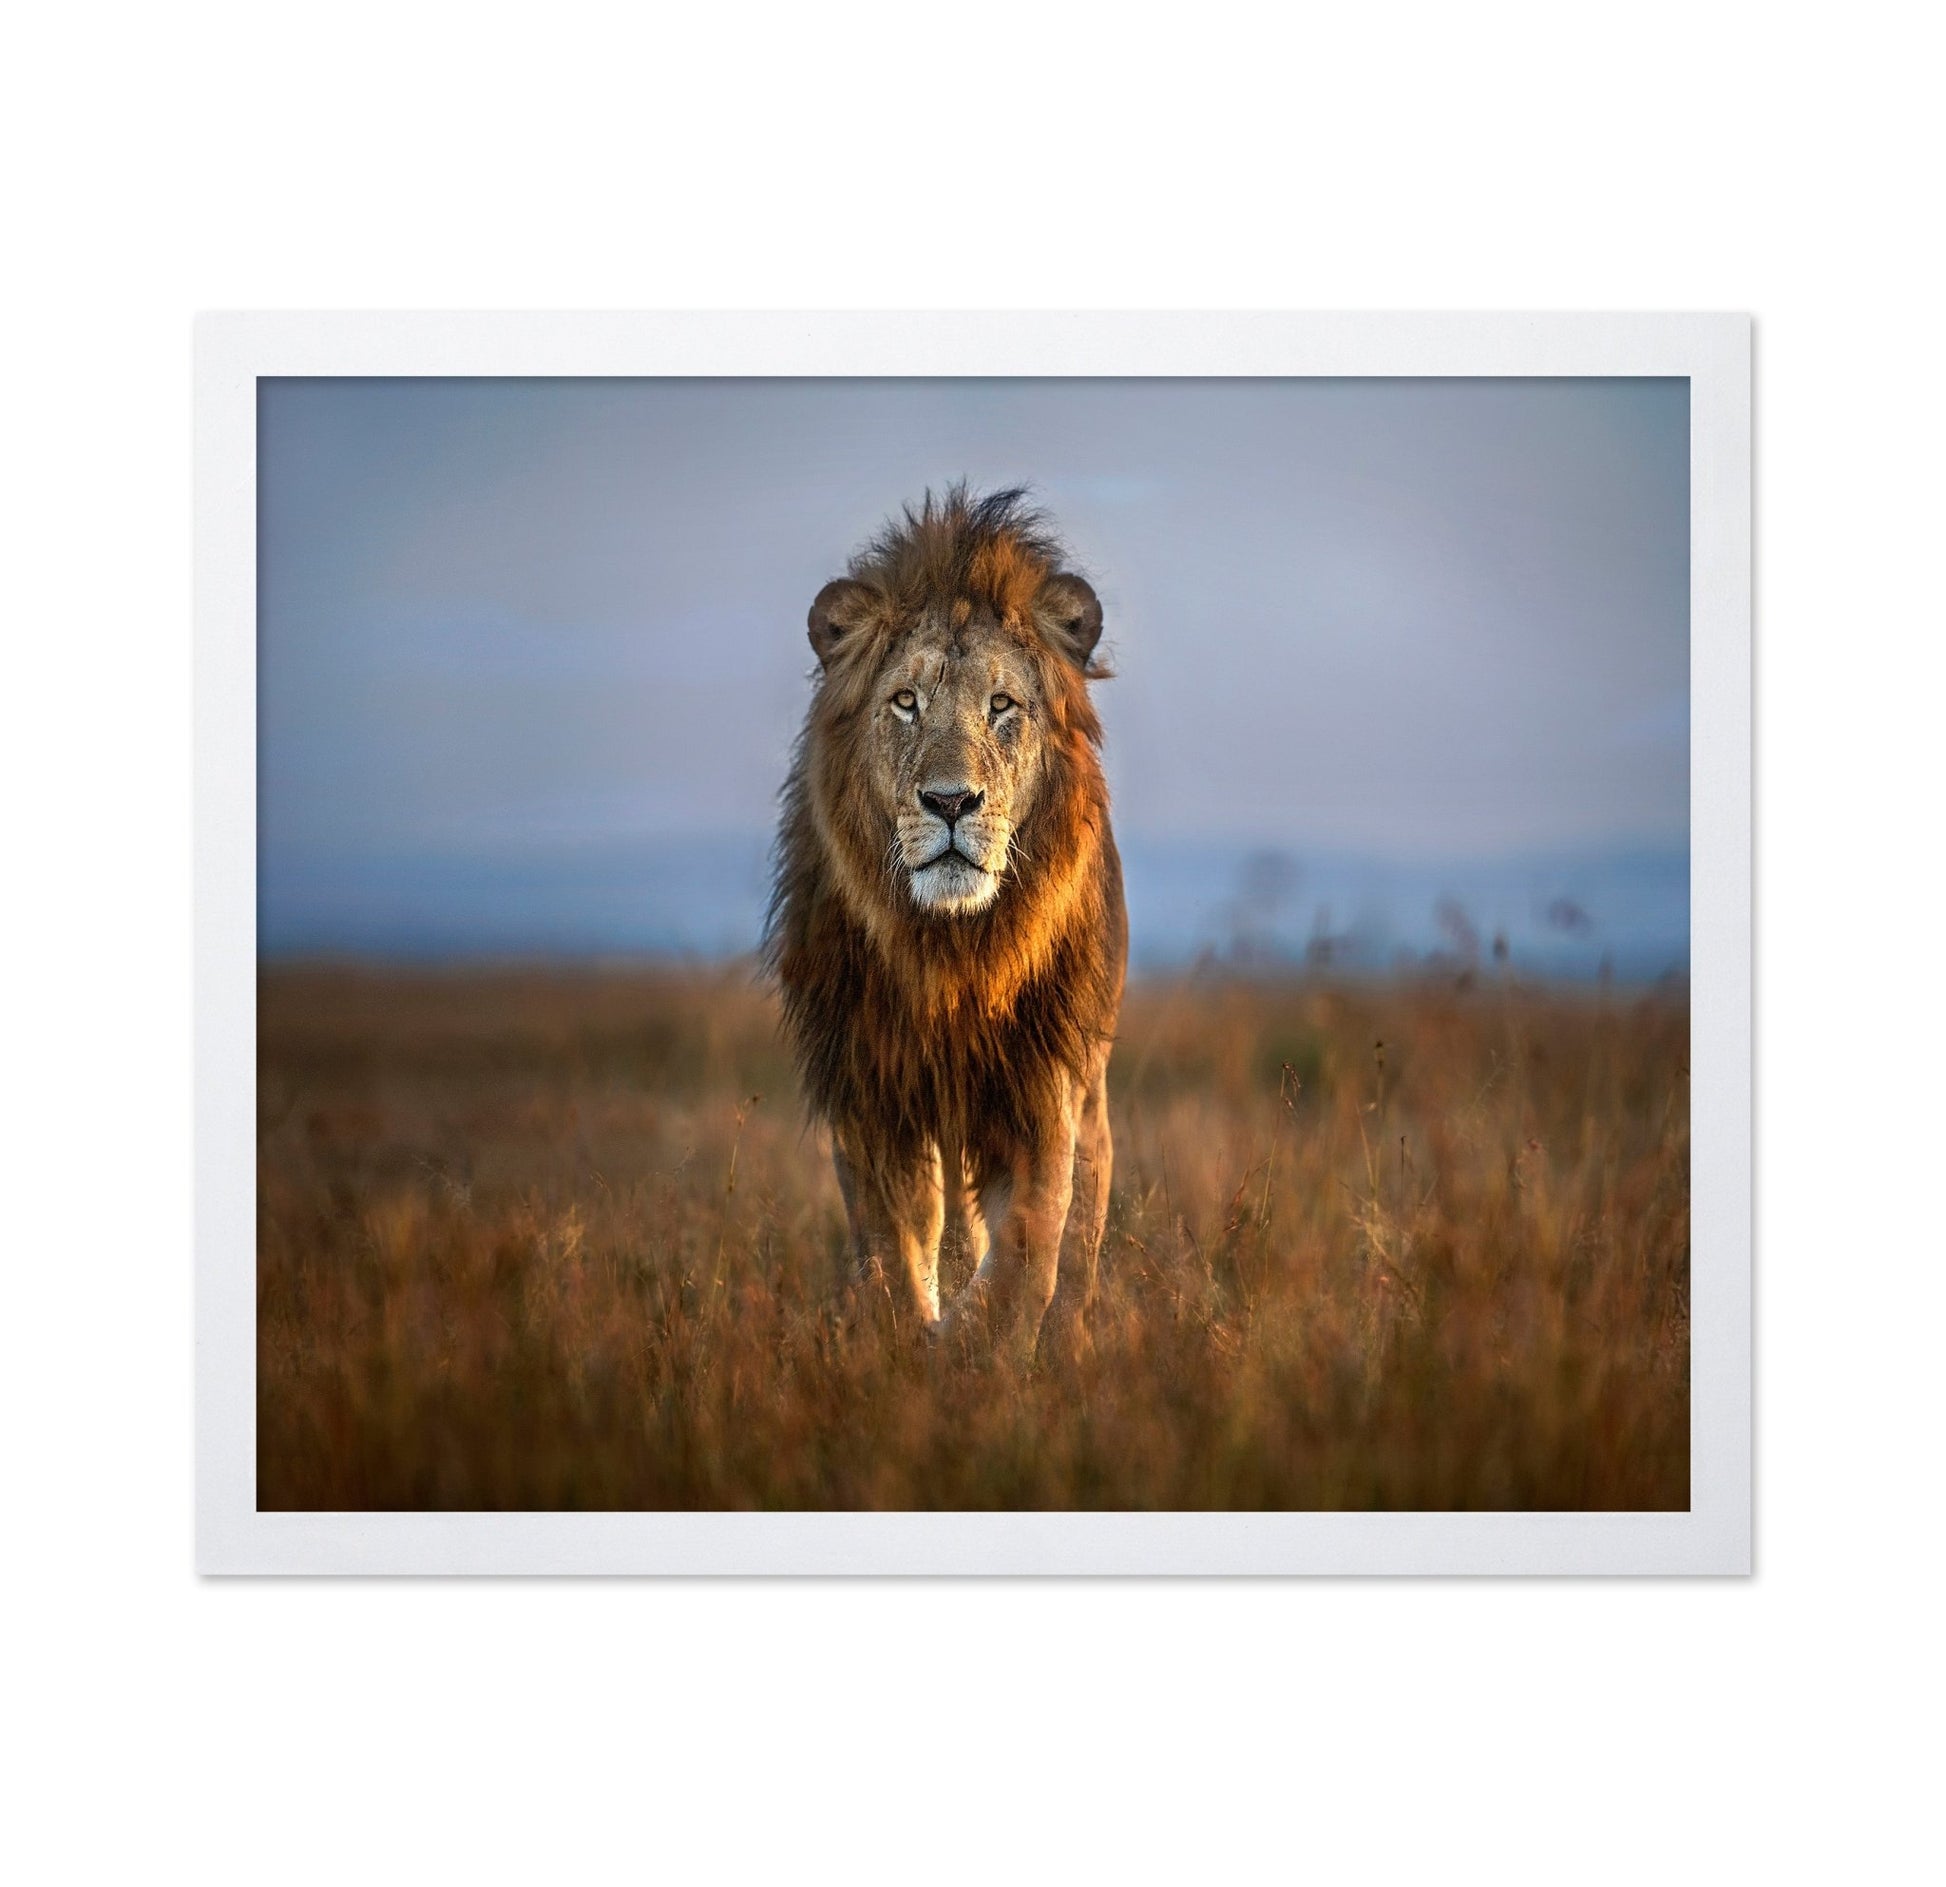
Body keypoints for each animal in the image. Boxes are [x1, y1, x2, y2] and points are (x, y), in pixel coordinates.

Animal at [765, 485, 1127, 1355]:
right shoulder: (870, 1089)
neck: (953, 950)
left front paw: (974, 1346)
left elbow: (1030, 1243)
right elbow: (896, 1243)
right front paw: (910, 1338)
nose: (951, 801)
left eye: (1002, 705)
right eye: (906, 701)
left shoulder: (1041, 1084)